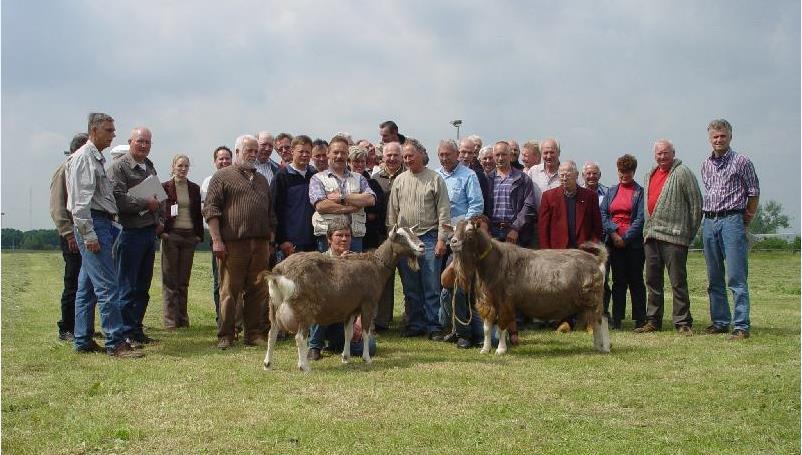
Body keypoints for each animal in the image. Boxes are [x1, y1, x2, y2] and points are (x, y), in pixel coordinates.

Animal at [262, 226, 424, 372]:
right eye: (401, 236)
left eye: (413, 232)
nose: (422, 246)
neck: (377, 266)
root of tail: (280, 272)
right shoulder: (368, 304)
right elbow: (365, 332)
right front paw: (367, 358)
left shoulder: (351, 309)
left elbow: (349, 333)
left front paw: (345, 358)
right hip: (304, 310)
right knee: (300, 337)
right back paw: (304, 367)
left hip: (274, 306)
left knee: (272, 333)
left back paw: (267, 364)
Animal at [446, 219, 608, 354]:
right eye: (453, 229)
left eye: (469, 230)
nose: (453, 242)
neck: (495, 261)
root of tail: (596, 260)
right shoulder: (487, 300)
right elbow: (487, 328)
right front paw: (485, 350)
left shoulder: (504, 301)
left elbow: (502, 325)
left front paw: (500, 350)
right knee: (596, 321)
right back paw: (597, 346)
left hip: (593, 298)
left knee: (601, 320)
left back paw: (603, 347)